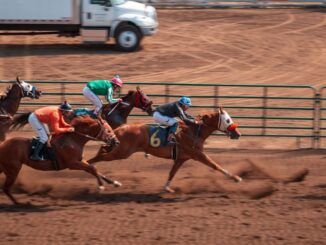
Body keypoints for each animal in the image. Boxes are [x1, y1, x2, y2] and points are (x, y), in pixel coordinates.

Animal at [88, 108, 242, 192]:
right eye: (227, 120)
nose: (237, 134)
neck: (194, 132)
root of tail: (119, 129)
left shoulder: (181, 158)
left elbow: (172, 173)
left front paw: (167, 188)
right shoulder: (198, 154)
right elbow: (215, 165)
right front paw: (236, 178)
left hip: (119, 149)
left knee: (102, 150)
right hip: (122, 152)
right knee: (99, 157)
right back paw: (92, 167)